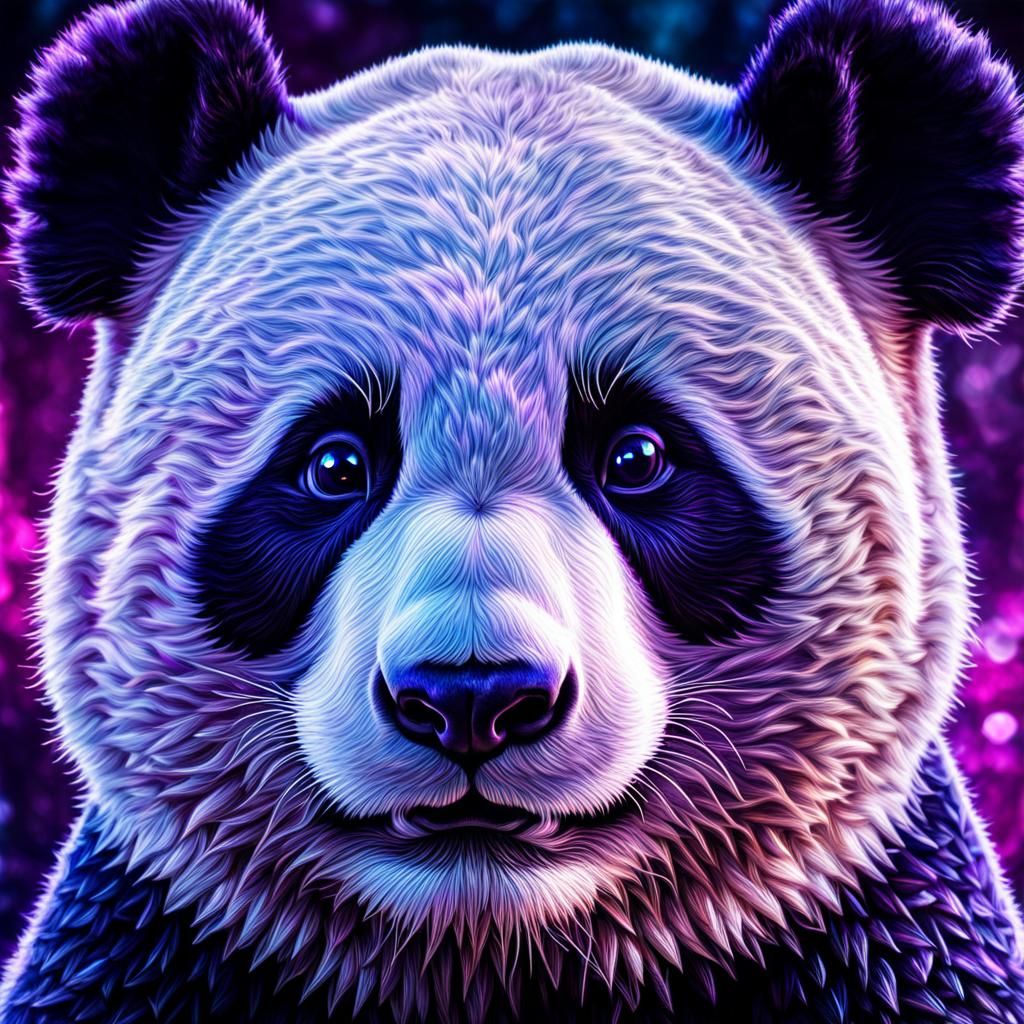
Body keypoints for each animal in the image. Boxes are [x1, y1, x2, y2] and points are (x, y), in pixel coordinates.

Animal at [2, 0, 1024, 1020]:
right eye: (334, 464)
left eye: (638, 456)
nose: (471, 696)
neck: (496, 952)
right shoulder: (147, 949)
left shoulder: (884, 943)